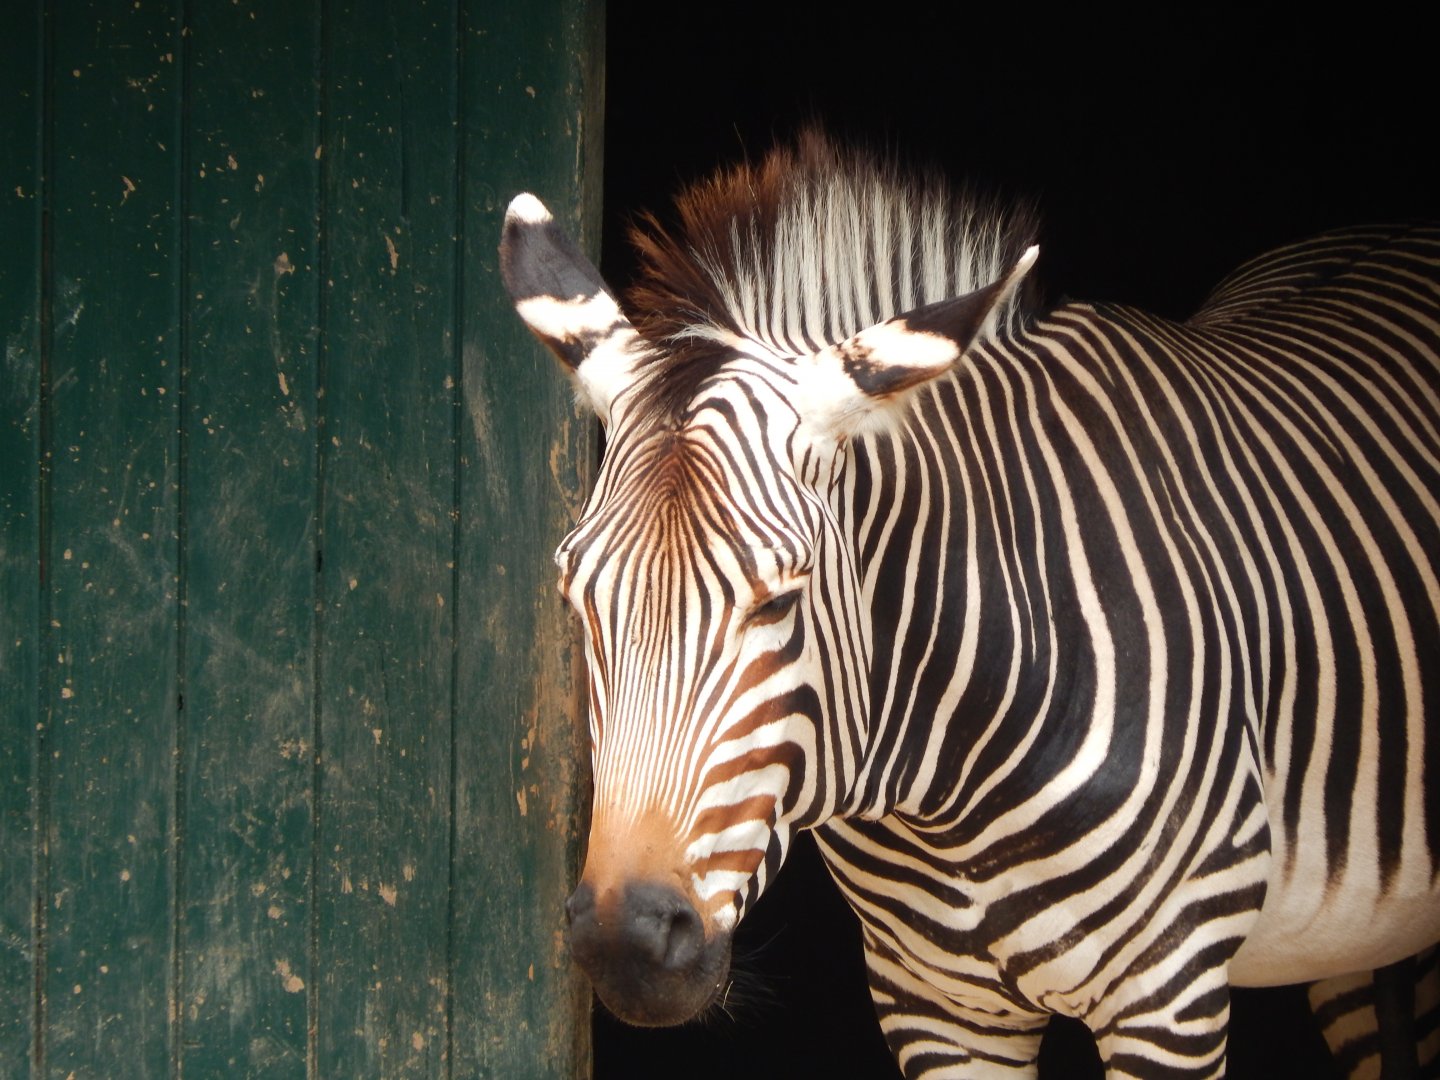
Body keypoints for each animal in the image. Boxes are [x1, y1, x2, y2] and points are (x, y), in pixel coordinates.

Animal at [499, 132, 1440, 1078]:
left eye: (782, 599)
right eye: (577, 596)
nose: (626, 945)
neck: (950, 797)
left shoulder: (1169, 994)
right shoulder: (936, 1007)